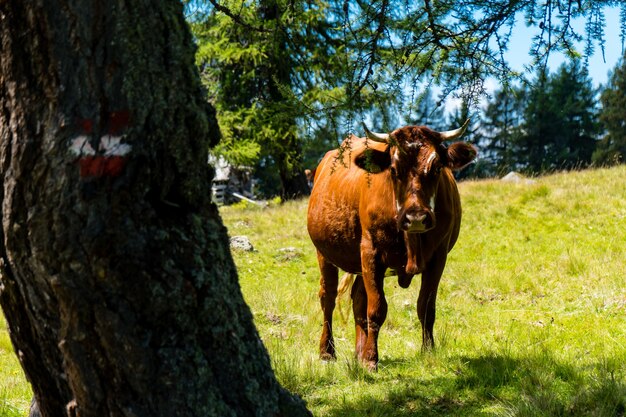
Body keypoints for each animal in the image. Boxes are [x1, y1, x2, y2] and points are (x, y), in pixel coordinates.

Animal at [308, 121, 478, 370]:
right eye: (394, 170)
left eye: (437, 168)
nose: (416, 217)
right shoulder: (371, 252)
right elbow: (377, 308)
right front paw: (371, 359)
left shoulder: (438, 257)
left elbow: (426, 307)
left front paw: (428, 351)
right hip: (324, 253)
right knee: (328, 297)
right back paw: (327, 352)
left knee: (358, 298)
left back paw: (358, 352)